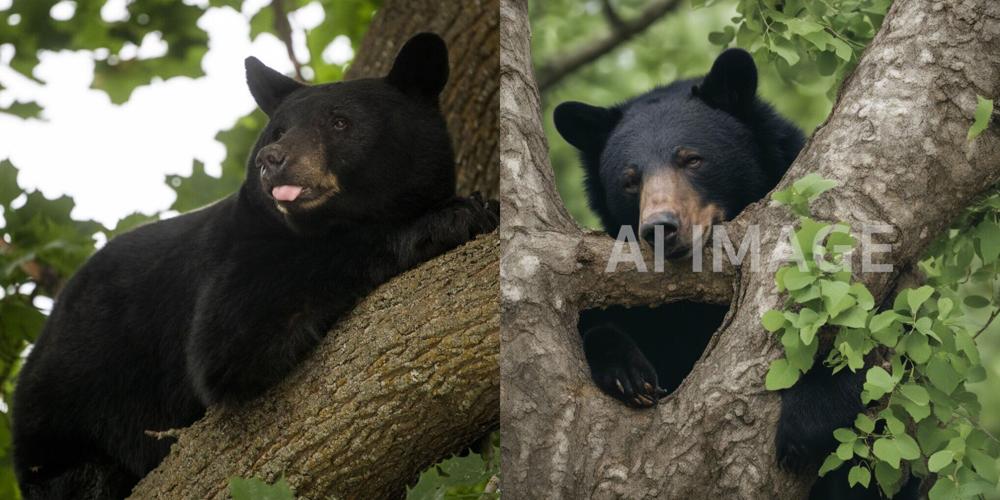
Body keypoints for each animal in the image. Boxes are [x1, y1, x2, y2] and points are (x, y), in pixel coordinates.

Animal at [12, 32, 498, 500]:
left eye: (340, 122)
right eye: (277, 131)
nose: (273, 159)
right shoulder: (236, 255)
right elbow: (234, 343)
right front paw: (450, 217)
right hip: (61, 416)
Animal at [553, 49, 916, 499]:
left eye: (692, 159)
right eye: (630, 180)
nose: (660, 227)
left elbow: (879, 329)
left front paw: (806, 423)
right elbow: (596, 320)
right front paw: (628, 374)